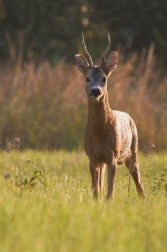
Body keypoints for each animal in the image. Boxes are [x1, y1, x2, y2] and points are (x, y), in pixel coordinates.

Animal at [74, 32, 145, 200]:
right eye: (87, 78)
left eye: (104, 78)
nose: (95, 91)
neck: (99, 134)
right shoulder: (92, 157)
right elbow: (96, 190)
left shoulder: (112, 156)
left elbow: (110, 192)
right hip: (103, 162)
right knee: (101, 186)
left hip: (133, 151)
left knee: (139, 183)